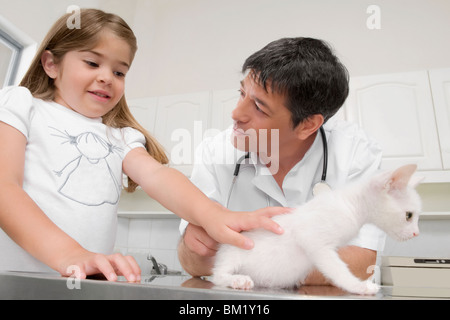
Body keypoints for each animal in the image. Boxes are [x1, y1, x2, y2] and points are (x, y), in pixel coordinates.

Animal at [213, 165, 424, 296]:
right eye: (409, 215)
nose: (416, 233)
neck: (350, 204)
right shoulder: (314, 241)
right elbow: (338, 269)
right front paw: (359, 286)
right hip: (233, 252)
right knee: (218, 275)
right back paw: (238, 280)